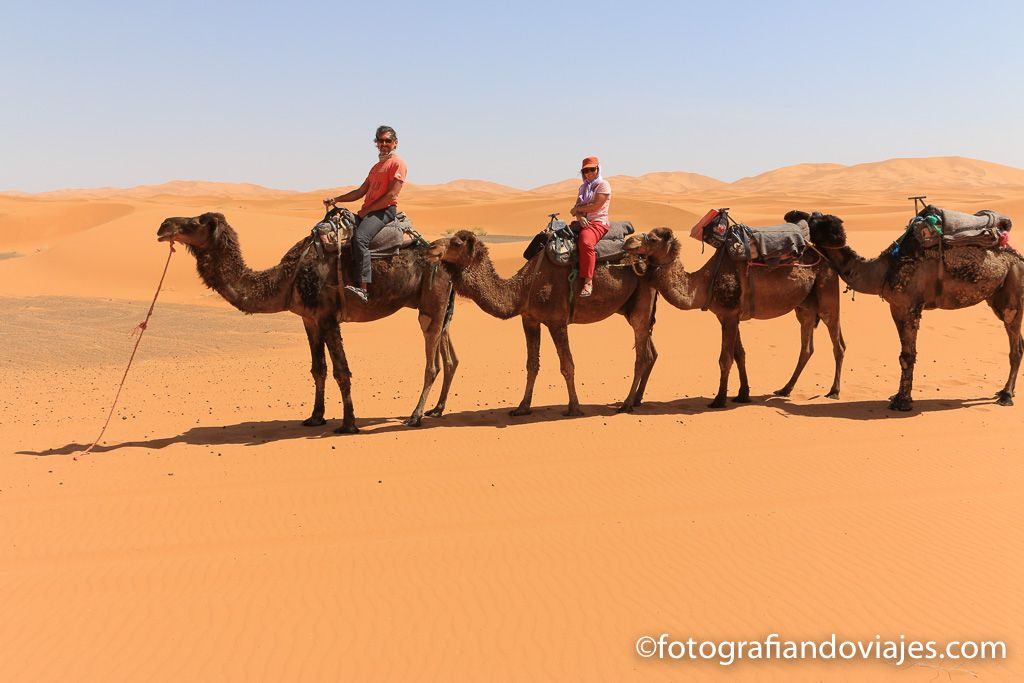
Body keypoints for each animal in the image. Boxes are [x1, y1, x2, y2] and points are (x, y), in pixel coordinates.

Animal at [155, 211, 456, 432]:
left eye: (196, 222)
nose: (163, 225)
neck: (288, 277)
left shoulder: (328, 316)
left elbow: (341, 371)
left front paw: (348, 424)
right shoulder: (309, 319)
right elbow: (318, 369)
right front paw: (315, 417)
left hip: (433, 303)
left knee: (432, 363)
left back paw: (415, 416)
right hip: (437, 307)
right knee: (449, 357)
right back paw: (436, 410)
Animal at [423, 232, 655, 417]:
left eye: (456, 243)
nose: (430, 247)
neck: (523, 288)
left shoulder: (557, 321)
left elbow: (567, 365)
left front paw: (573, 407)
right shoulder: (529, 320)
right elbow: (532, 365)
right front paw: (522, 407)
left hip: (642, 300)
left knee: (641, 356)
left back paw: (626, 404)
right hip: (630, 307)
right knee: (650, 352)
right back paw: (636, 399)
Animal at [618, 225, 843, 405]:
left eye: (653, 239)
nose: (628, 242)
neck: (703, 284)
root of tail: (825, 257)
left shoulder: (729, 315)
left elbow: (725, 358)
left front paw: (719, 399)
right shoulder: (728, 316)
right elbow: (739, 354)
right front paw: (743, 394)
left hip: (827, 293)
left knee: (837, 343)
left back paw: (834, 391)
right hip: (804, 307)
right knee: (807, 347)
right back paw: (785, 389)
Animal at [798, 210, 1024, 409]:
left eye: (818, 222)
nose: (800, 214)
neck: (882, 271)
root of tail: (1019, 259)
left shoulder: (909, 307)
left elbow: (908, 356)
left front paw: (903, 402)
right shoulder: (896, 307)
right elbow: (903, 355)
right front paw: (897, 396)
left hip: (1013, 292)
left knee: (1016, 345)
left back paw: (1006, 396)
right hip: (996, 298)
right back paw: (1007, 391)